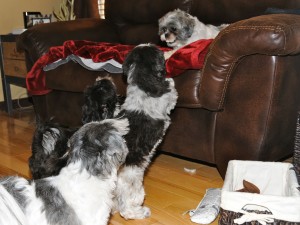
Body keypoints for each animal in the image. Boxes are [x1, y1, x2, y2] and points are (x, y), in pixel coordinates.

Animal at [112, 44, 178, 220]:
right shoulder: (169, 97)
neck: (143, 82)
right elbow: (172, 89)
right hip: (131, 180)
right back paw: (139, 212)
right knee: (126, 205)